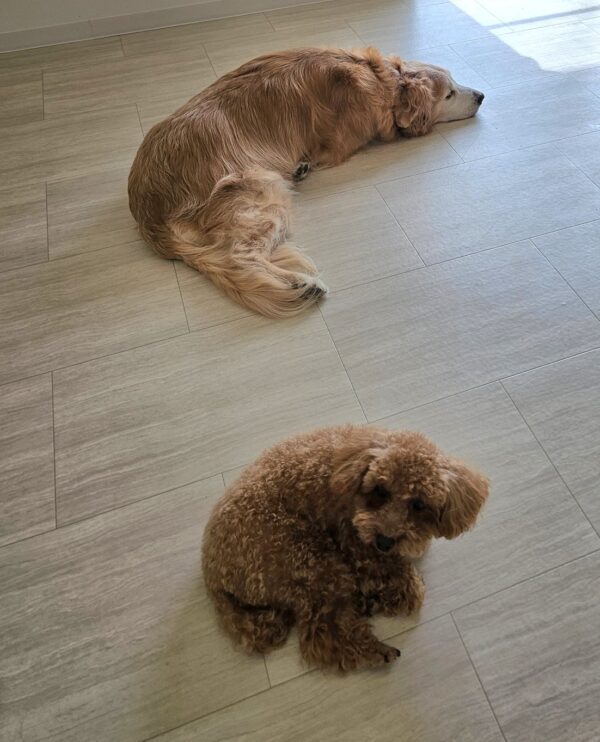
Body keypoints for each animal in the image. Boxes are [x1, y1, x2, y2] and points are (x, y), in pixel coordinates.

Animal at [128, 47, 484, 318]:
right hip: (264, 192)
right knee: (239, 256)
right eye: (450, 93)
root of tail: (148, 212)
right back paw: (300, 285)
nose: (481, 95)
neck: (380, 79)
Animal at [202, 425, 489, 671]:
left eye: (418, 504)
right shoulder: (354, 541)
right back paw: (375, 649)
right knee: (322, 636)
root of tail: (213, 578)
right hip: (310, 557)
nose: (384, 542)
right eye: (380, 491)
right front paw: (395, 587)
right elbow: (412, 587)